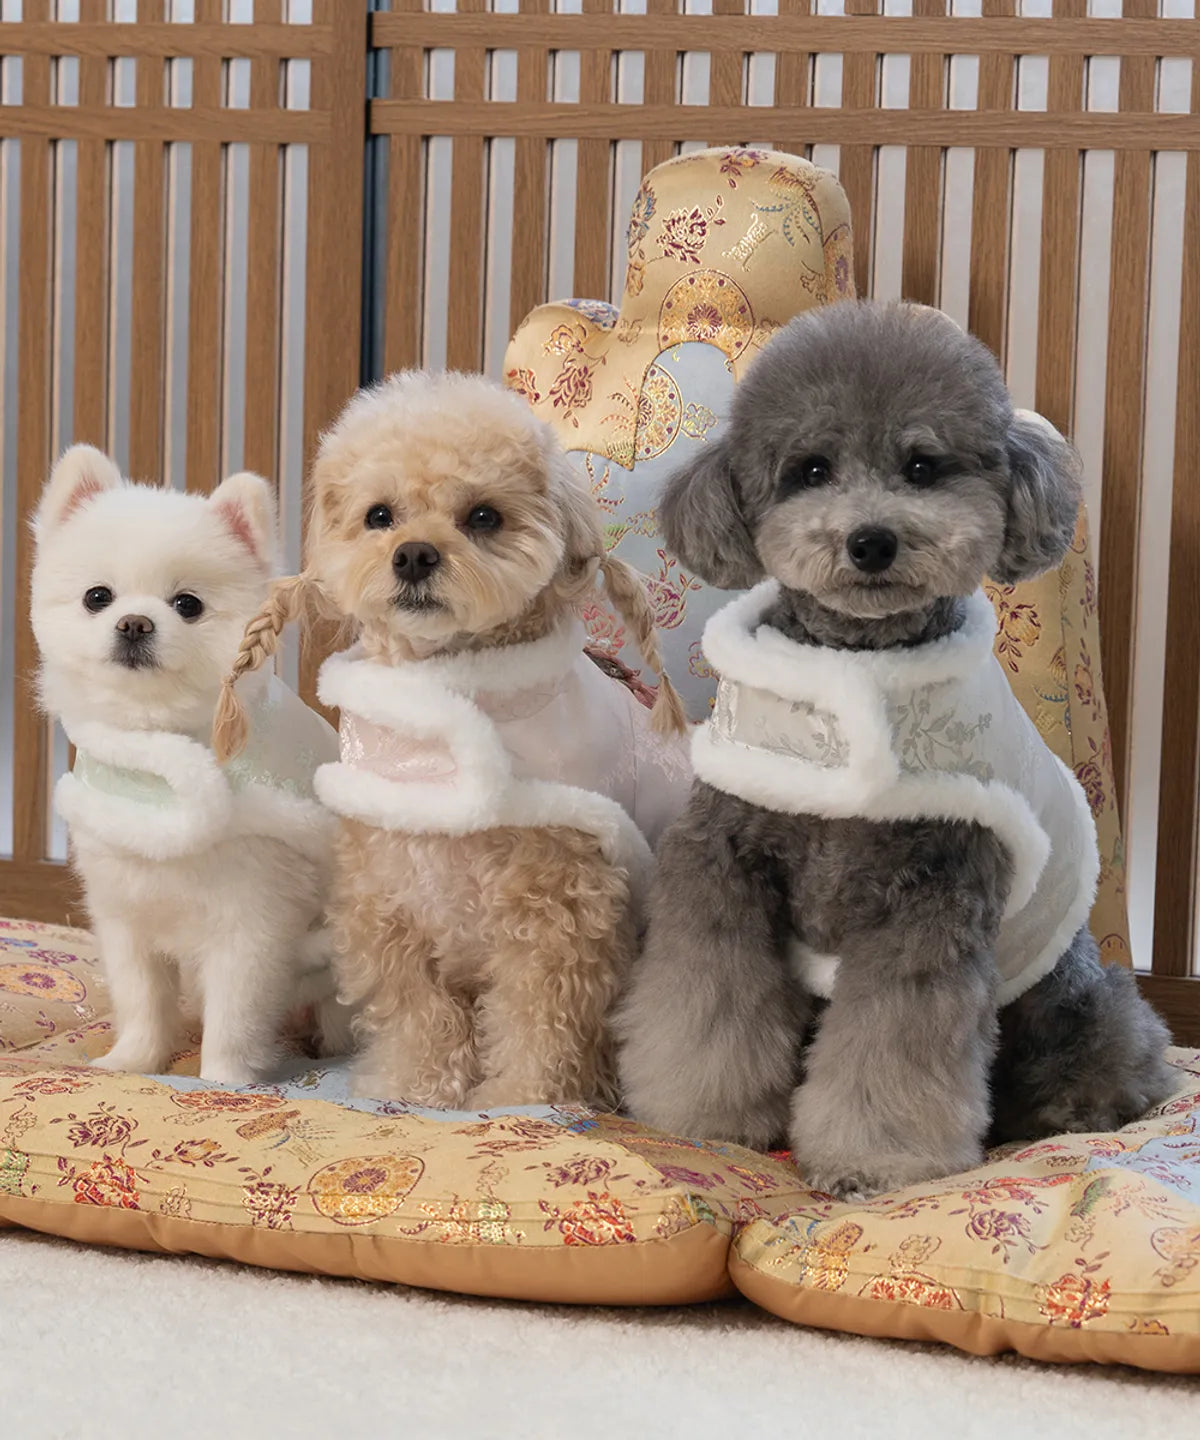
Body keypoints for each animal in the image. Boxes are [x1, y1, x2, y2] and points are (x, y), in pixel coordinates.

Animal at [31, 445, 348, 1083]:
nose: (134, 623)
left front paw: (224, 1079)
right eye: (97, 597)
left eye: (188, 605)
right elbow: (142, 1000)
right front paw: (132, 1062)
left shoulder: (251, 924)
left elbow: (235, 1014)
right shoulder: (124, 916)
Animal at [213, 372, 691, 1108]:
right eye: (380, 515)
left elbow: (538, 1015)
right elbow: (419, 1014)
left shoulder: (557, 911)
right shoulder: (387, 906)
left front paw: (520, 1097)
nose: (414, 554)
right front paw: (417, 1088)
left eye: (484, 516)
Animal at [617, 301, 1172, 1196]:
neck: (856, 663)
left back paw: (1080, 1104)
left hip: (1066, 993)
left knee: (1112, 1046)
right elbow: (705, 1004)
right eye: (810, 469)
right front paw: (702, 1114)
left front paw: (873, 1159)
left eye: (922, 466)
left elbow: (895, 1045)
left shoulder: (932, 892)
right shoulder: (725, 861)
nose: (871, 541)